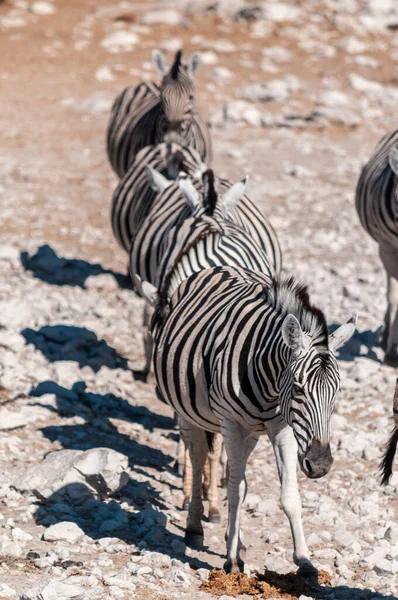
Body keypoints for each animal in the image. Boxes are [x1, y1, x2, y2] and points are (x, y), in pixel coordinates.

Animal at [148, 266, 356, 572]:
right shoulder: (232, 425)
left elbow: (288, 495)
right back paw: (195, 527)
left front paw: (304, 559)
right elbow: (233, 490)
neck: (269, 384)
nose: (320, 466)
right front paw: (232, 561)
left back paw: (235, 539)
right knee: (199, 460)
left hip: (251, 432)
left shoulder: (283, 428)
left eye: (336, 392)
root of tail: (221, 268)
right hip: (191, 415)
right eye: (298, 388)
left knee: (241, 478)